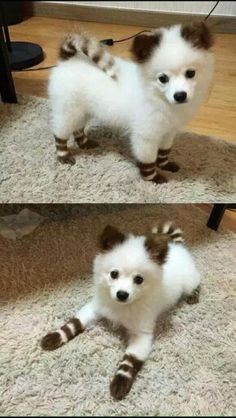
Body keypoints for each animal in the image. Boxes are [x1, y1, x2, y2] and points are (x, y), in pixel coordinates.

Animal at [41, 220, 201, 400]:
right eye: (114, 274)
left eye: (139, 279)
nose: (122, 294)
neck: (121, 307)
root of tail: (177, 247)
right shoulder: (95, 308)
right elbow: (74, 323)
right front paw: (55, 336)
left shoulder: (141, 334)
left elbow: (130, 360)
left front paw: (121, 381)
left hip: (189, 281)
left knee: (196, 282)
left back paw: (194, 295)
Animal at [48, 20, 215, 183]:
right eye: (163, 79)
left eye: (190, 73)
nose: (180, 95)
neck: (159, 98)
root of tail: (68, 61)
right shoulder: (146, 135)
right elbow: (148, 159)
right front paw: (152, 177)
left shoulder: (168, 131)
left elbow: (164, 151)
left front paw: (164, 165)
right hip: (68, 108)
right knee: (60, 132)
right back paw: (63, 154)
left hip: (83, 109)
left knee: (78, 127)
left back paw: (84, 143)